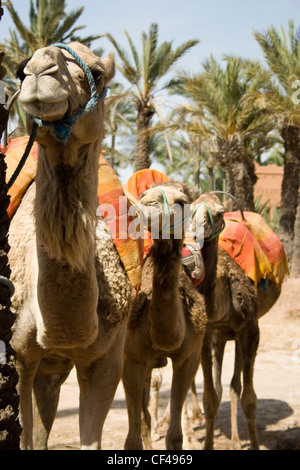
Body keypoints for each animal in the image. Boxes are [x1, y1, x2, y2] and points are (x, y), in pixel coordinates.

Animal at [121, 182, 225, 450]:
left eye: (181, 202)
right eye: (143, 194)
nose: (146, 204)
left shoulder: (188, 358)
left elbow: (175, 435)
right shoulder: (132, 359)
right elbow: (132, 439)